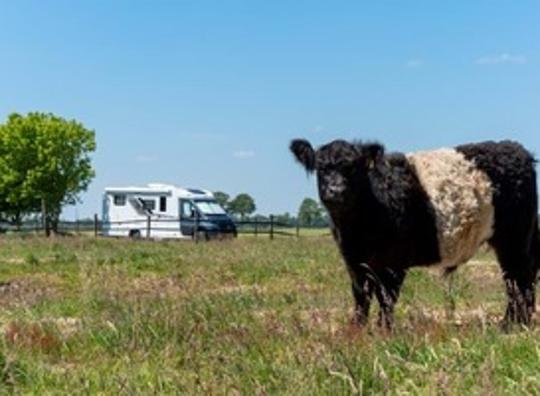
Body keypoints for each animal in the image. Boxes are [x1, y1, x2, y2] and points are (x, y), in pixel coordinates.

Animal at [292, 139, 540, 328]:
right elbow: (361, 296)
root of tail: (517, 149)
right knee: (517, 280)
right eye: (322, 168)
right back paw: (515, 322)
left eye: (353, 168)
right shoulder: (354, 262)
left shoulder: (394, 264)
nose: (336, 191)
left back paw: (513, 325)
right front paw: (358, 329)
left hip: (515, 240)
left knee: (519, 279)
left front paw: (384, 330)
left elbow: (386, 298)